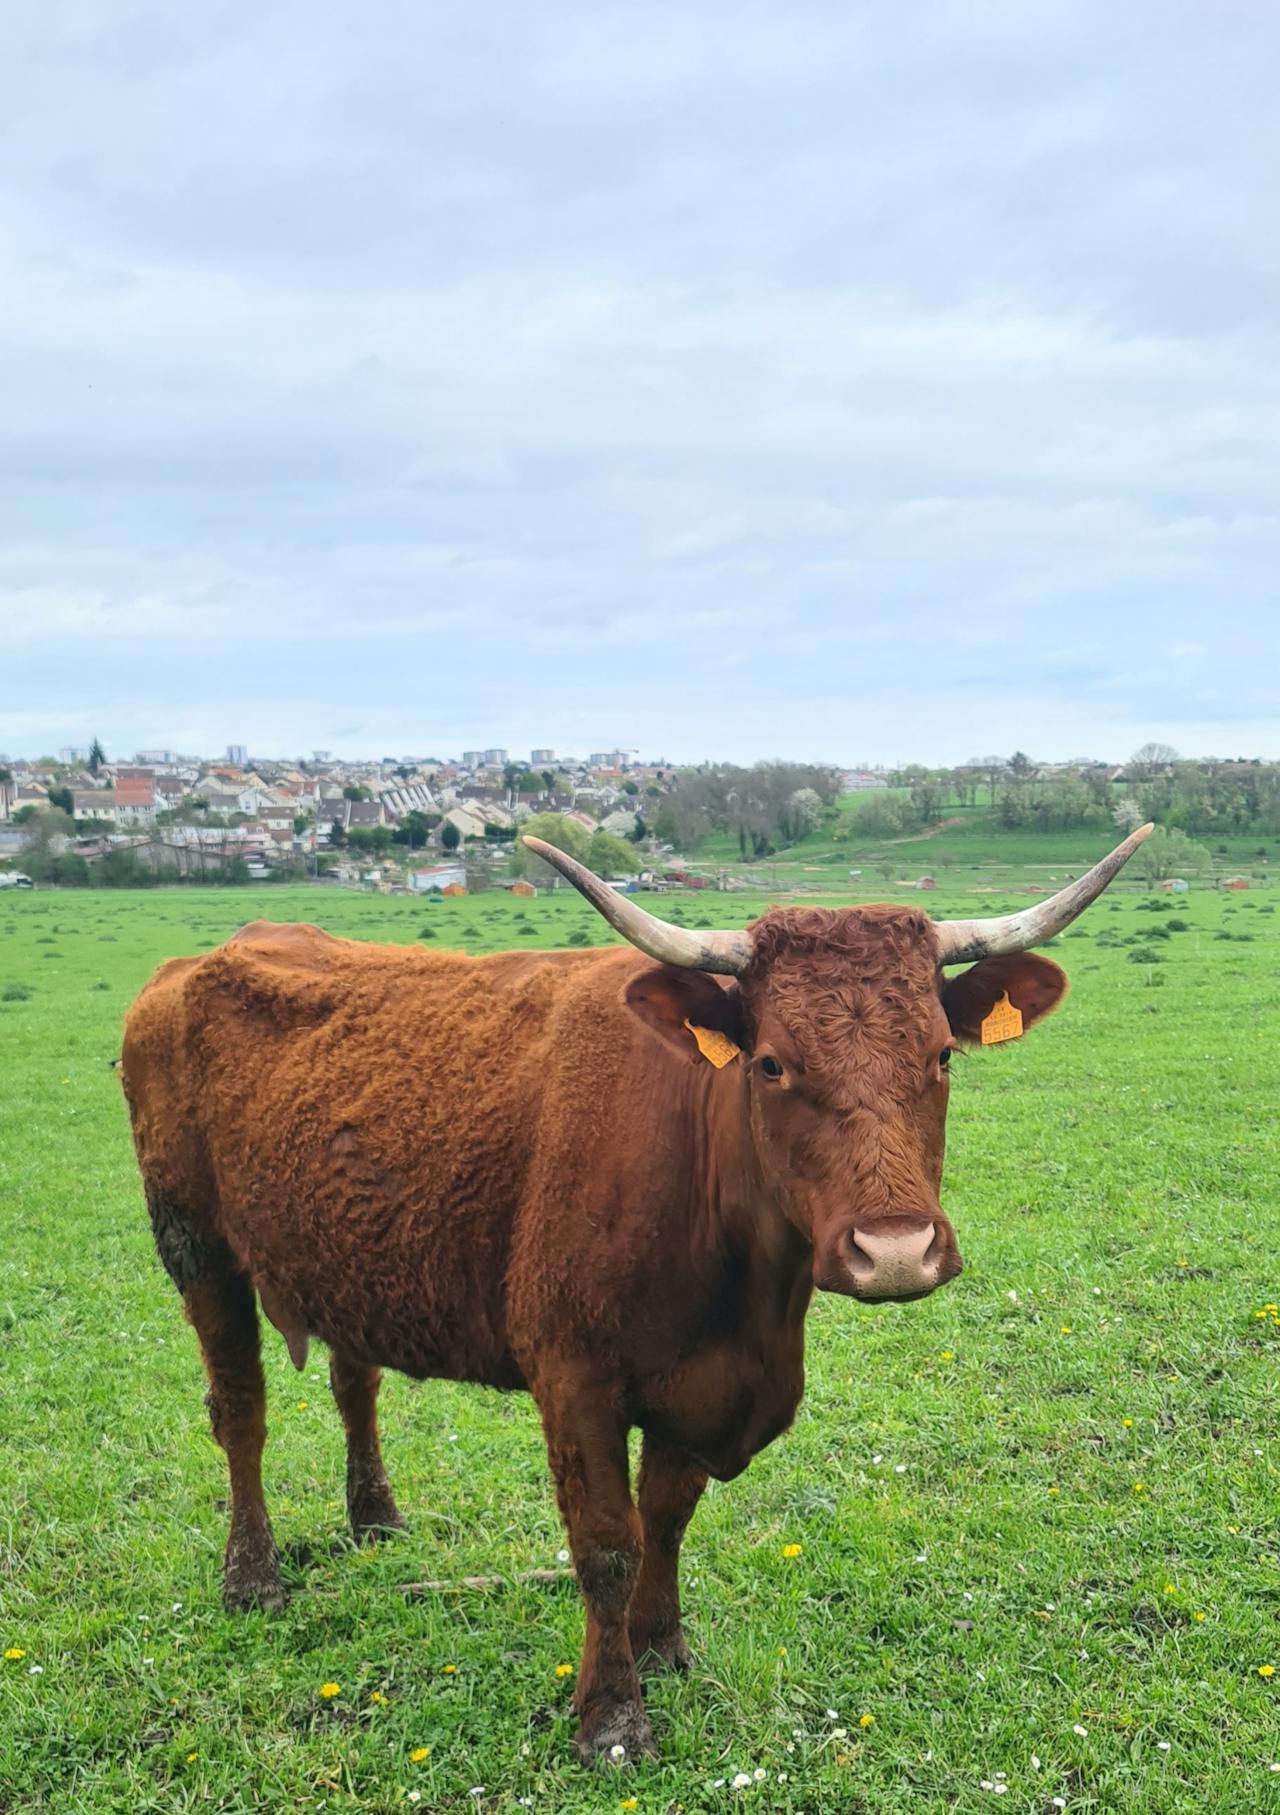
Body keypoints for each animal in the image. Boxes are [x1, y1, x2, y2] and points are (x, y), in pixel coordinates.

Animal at [120, 824, 1150, 1763]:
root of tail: (194, 961)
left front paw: (662, 1647)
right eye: (771, 1061)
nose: (894, 1250)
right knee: (239, 1409)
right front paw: (611, 1714)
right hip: (196, 1246)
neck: (747, 1295)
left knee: (353, 1381)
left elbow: (668, 1516)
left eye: (941, 1055)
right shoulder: (574, 1380)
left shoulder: (698, 1383)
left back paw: (376, 1519)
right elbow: (607, 1545)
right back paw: (252, 1577)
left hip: (345, 1257)